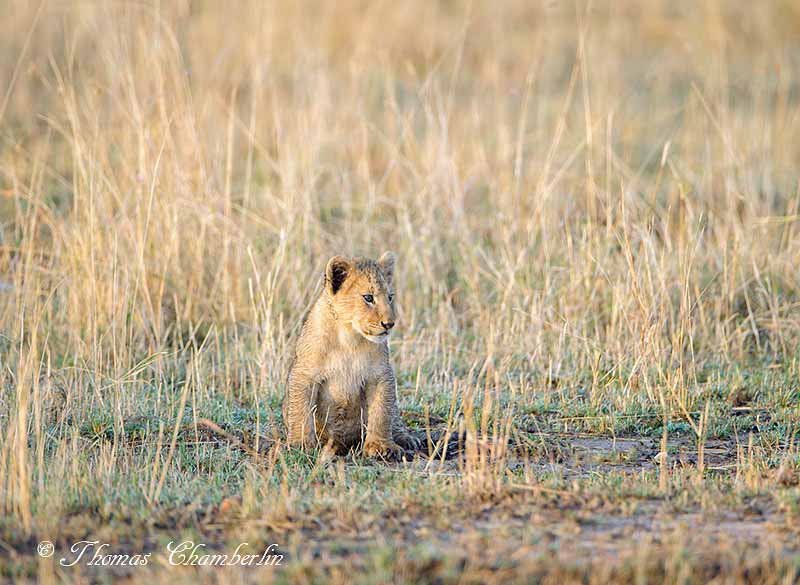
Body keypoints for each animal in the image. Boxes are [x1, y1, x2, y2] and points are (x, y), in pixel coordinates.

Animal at [282, 251, 420, 459]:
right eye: (368, 297)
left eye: (390, 297)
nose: (389, 324)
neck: (349, 338)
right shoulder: (304, 374)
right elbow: (300, 410)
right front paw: (301, 445)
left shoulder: (380, 375)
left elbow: (382, 411)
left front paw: (382, 446)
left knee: (394, 416)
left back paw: (406, 439)